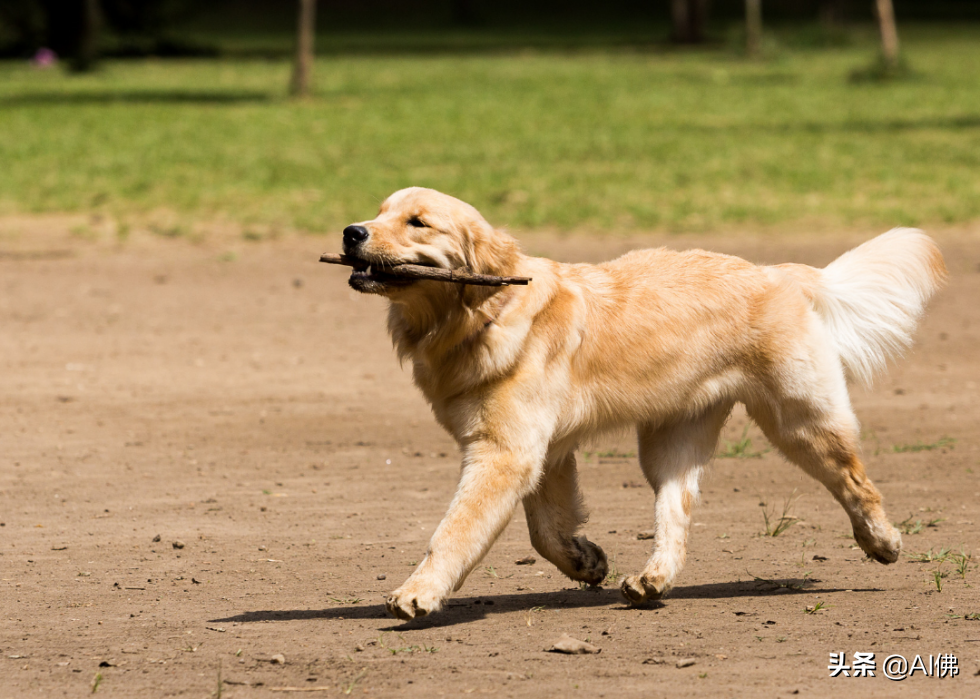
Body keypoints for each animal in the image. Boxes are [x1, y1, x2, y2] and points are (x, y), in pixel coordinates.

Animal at [340, 187, 944, 624]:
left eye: (417, 222)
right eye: (379, 212)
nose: (351, 231)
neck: (484, 312)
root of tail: (777, 272)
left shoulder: (505, 453)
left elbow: (455, 530)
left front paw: (419, 592)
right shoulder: (543, 453)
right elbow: (545, 530)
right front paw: (585, 561)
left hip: (800, 421)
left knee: (855, 481)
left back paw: (882, 541)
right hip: (669, 442)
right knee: (676, 511)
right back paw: (652, 580)